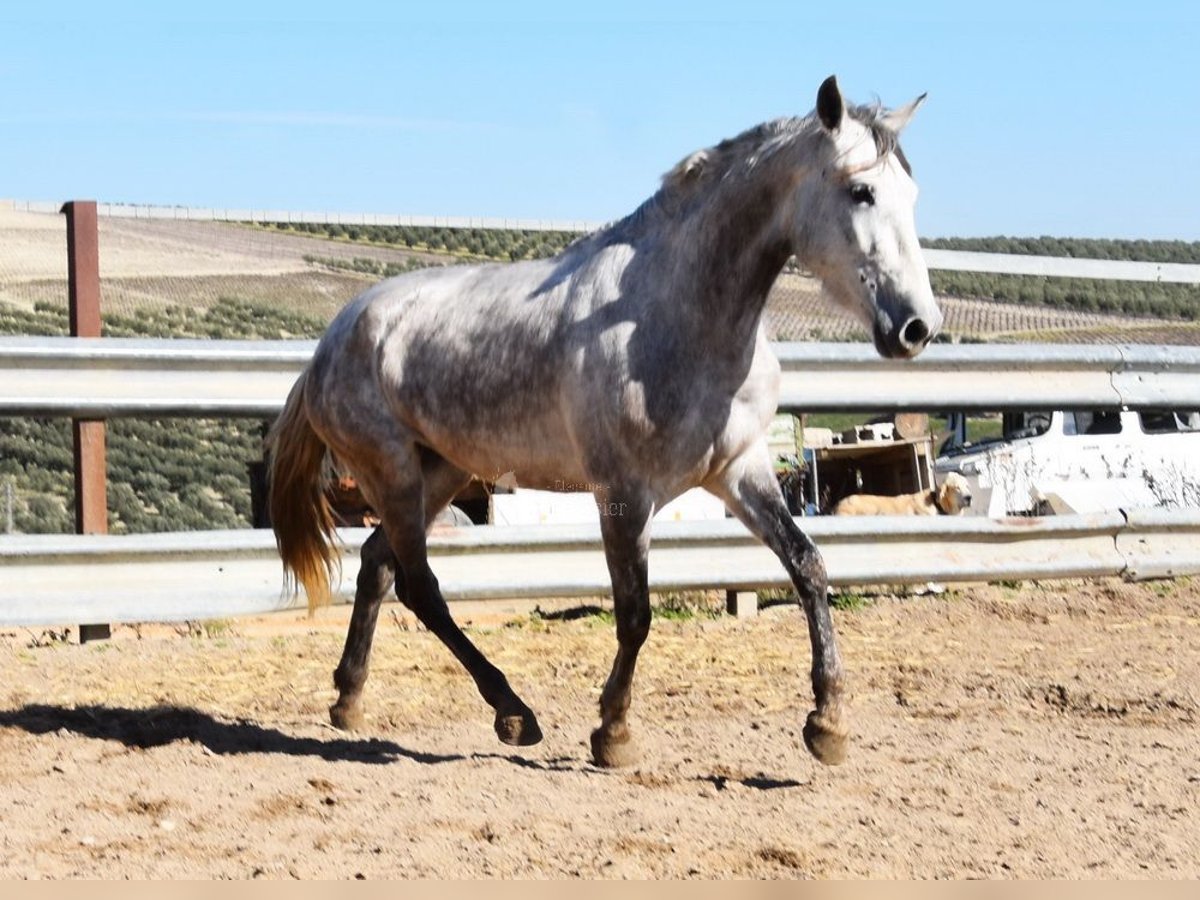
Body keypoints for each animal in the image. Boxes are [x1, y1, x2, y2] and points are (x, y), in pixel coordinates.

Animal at [272, 75, 936, 768]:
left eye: (912, 195)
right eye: (861, 191)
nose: (917, 327)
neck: (673, 316)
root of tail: (330, 342)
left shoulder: (740, 470)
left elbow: (809, 567)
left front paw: (827, 724)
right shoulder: (623, 492)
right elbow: (635, 612)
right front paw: (612, 732)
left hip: (442, 471)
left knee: (378, 564)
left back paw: (350, 700)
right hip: (393, 472)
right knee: (419, 585)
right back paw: (513, 713)